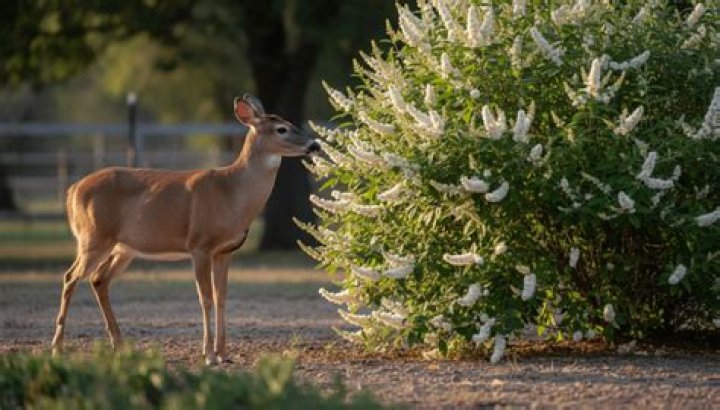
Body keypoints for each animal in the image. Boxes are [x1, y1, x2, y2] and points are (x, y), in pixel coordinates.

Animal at [50, 94, 320, 364]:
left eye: (291, 122)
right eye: (281, 128)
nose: (315, 145)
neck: (232, 192)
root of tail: (72, 190)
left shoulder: (225, 251)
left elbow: (221, 297)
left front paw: (224, 354)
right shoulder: (199, 245)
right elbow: (206, 298)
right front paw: (209, 354)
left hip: (122, 248)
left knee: (98, 280)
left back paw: (120, 345)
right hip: (93, 237)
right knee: (70, 277)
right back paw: (57, 347)